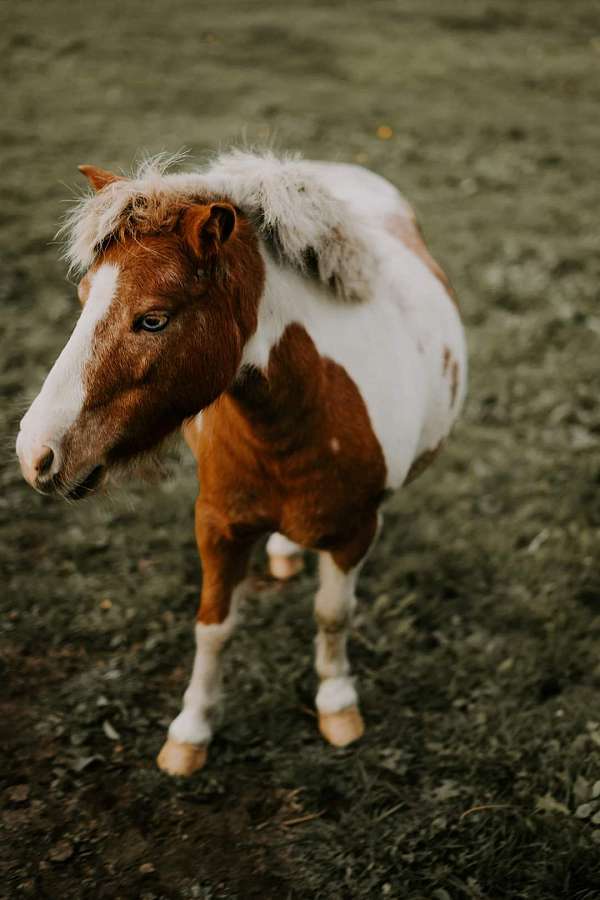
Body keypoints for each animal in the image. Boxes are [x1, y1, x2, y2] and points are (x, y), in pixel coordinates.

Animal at [16, 151, 467, 776]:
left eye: (152, 319)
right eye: (83, 297)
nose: (34, 452)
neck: (299, 414)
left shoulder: (356, 530)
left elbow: (333, 615)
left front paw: (337, 704)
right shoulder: (218, 525)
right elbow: (214, 628)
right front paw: (190, 732)